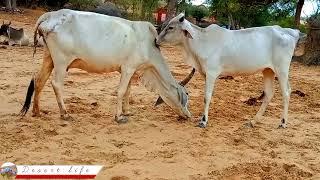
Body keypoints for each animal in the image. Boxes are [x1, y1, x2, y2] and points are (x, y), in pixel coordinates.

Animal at [20, 9, 191, 122]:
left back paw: (36, 112)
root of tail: (50, 15)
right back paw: (65, 113)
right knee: (56, 83)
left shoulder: (131, 71)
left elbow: (128, 91)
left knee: (39, 80)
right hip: (62, 61)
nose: (188, 115)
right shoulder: (128, 68)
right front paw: (119, 116)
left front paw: (127, 112)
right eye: (185, 97)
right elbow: (121, 91)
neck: (149, 46)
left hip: (48, 57)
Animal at [156, 13, 302, 128]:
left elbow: (206, 97)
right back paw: (253, 121)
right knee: (269, 93)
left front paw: (203, 121)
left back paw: (283, 122)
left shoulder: (211, 74)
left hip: (281, 69)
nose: (156, 40)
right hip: (268, 70)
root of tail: (289, 32)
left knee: (286, 92)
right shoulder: (205, 75)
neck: (202, 41)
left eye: (170, 27)